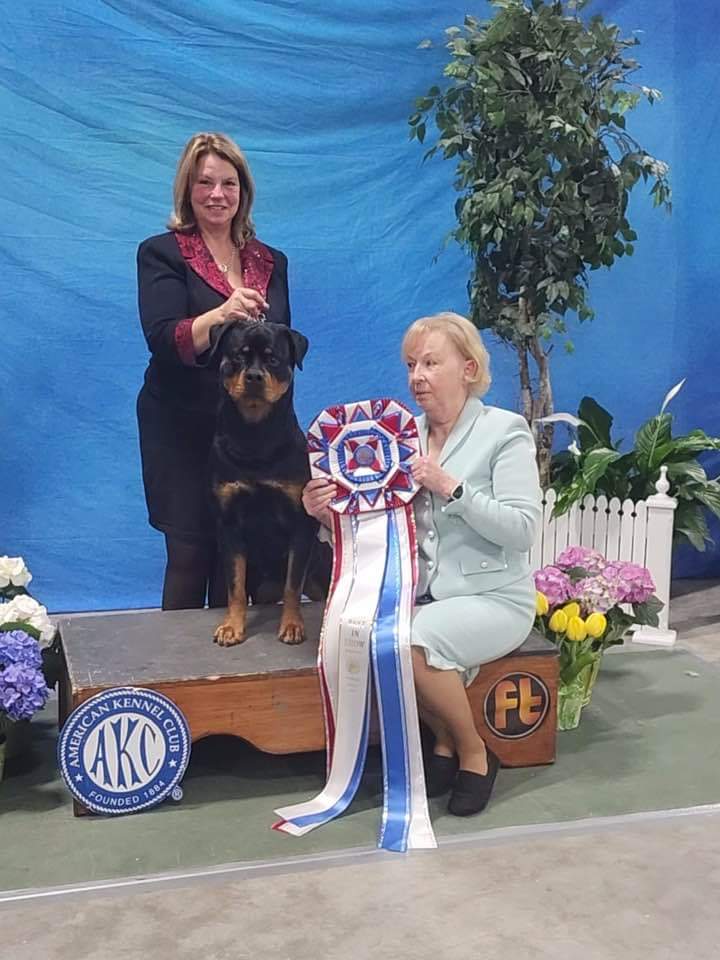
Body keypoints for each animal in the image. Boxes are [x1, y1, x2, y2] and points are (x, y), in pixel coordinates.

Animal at [208, 320, 328, 647]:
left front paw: (292, 626)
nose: (253, 376)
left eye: (273, 359)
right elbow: (235, 585)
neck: (255, 437)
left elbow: (292, 584)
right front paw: (232, 627)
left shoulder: (300, 523)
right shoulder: (229, 524)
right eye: (238, 355)